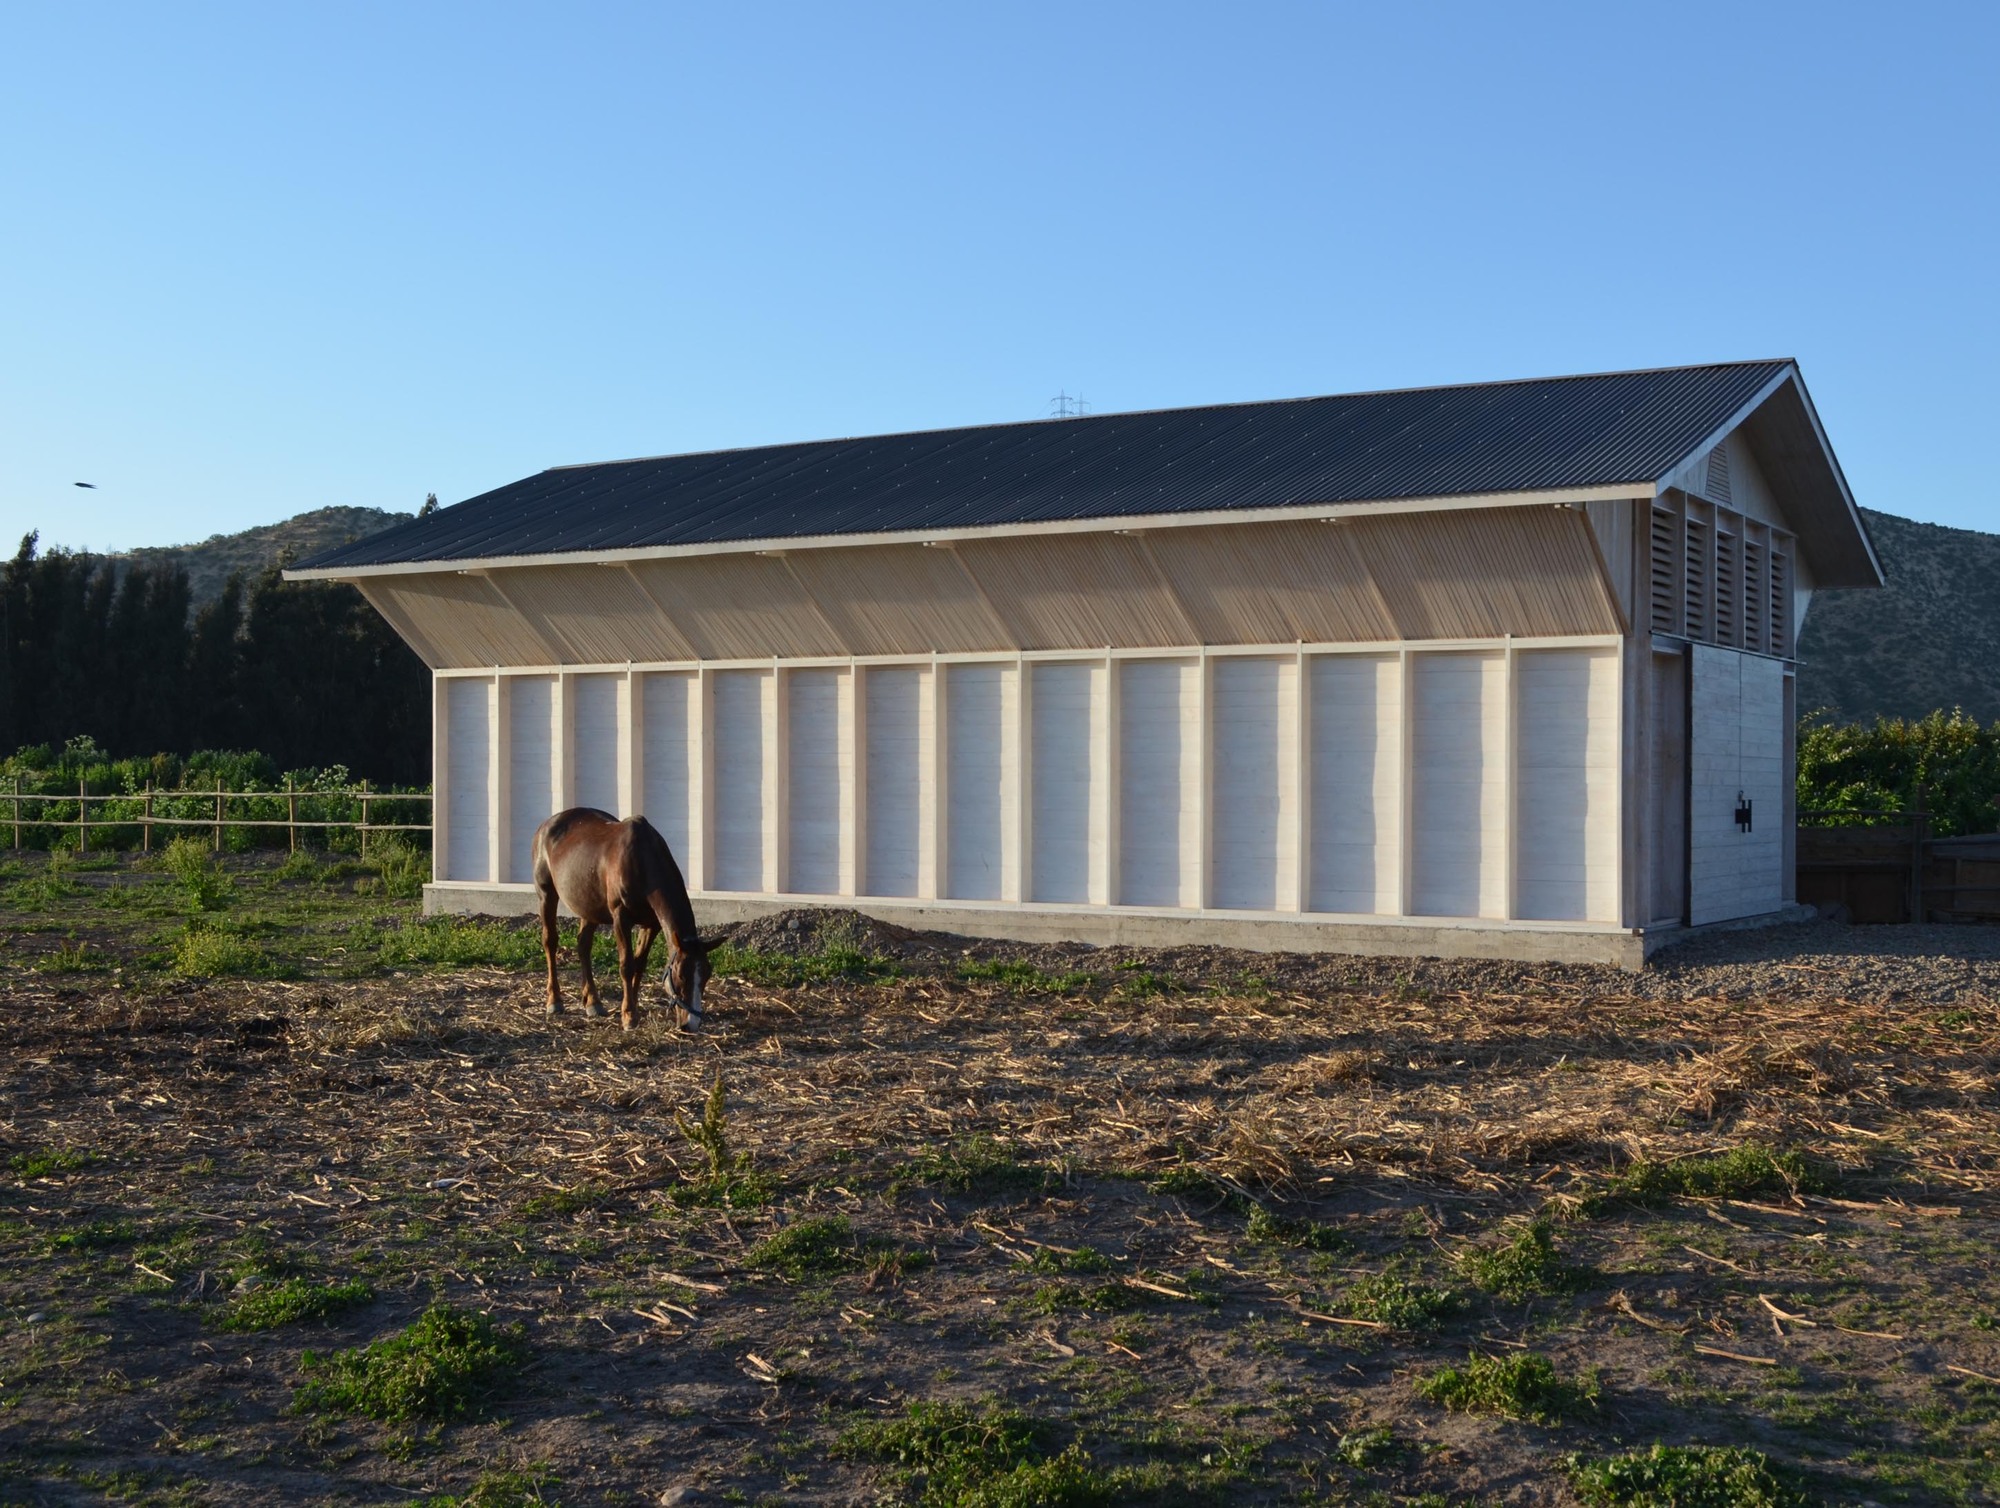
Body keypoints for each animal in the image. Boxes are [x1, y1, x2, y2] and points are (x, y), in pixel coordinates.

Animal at [532, 804, 712, 1032]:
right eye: (680, 975)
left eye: (707, 974)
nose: (692, 1023)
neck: (643, 861)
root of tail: (547, 824)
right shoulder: (621, 918)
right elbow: (626, 965)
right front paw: (628, 1015)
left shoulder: (651, 924)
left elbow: (639, 964)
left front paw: (632, 1005)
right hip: (546, 894)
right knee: (550, 941)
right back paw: (554, 1001)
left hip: (589, 905)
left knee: (583, 945)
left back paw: (593, 1002)